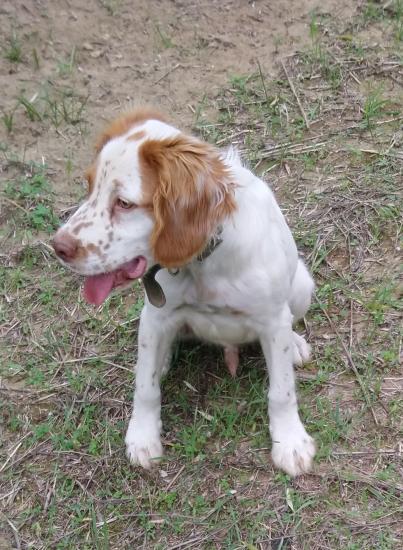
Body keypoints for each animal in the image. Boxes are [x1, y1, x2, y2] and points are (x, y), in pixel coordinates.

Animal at [51, 109, 316, 478]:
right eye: (90, 187)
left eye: (124, 203)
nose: (58, 246)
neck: (203, 260)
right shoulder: (156, 314)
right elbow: (145, 387)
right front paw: (143, 437)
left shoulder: (273, 320)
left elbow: (281, 391)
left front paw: (290, 442)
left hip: (302, 285)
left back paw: (297, 345)